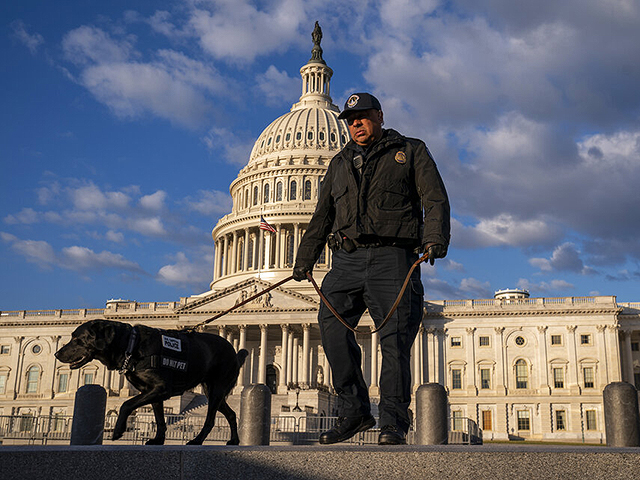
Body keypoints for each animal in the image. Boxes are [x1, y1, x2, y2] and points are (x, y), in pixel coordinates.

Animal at [55, 318, 248, 446]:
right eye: (71, 337)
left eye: (77, 339)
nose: (57, 354)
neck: (131, 345)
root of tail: (234, 352)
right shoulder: (153, 392)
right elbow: (160, 419)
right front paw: (158, 439)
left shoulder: (161, 388)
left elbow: (126, 404)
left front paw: (118, 430)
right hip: (213, 392)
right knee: (231, 414)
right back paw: (234, 440)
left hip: (216, 391)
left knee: (210, 420)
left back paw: (197, 440)